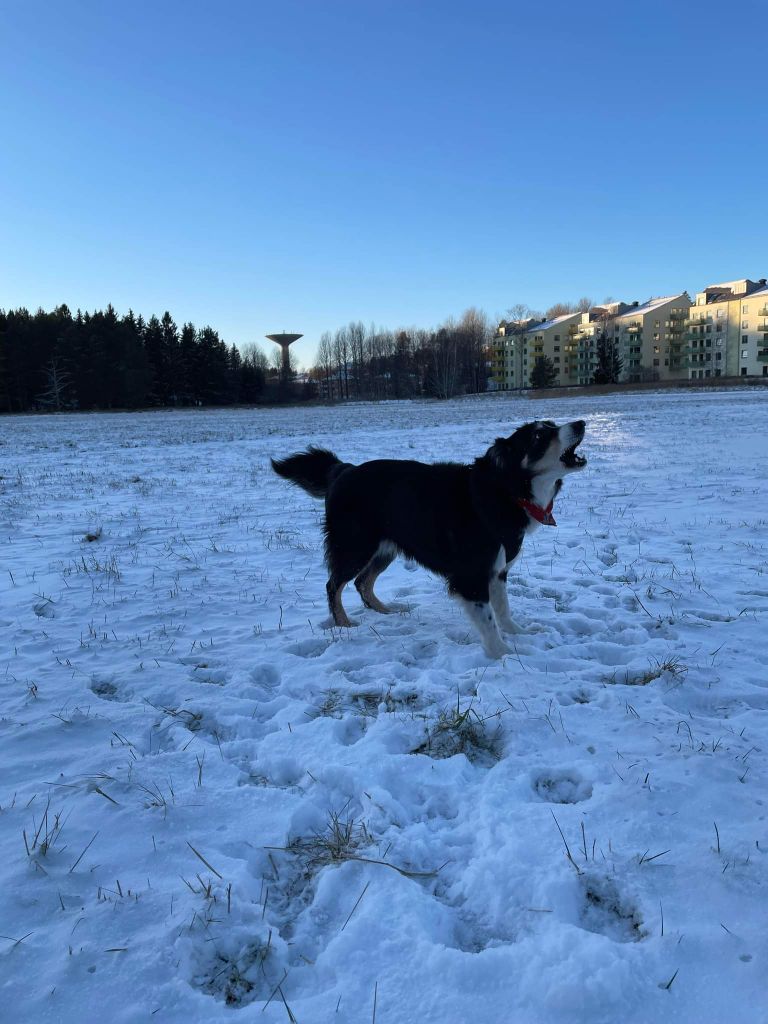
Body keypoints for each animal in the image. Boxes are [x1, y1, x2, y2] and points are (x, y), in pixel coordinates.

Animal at [274, 419, 585, 659]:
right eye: (539, 436)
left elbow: (503, 609)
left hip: (385, 548)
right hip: (355, 546)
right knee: (334, 585)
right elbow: (488, 619)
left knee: (363, 582)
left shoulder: (497, 571)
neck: (505, 490)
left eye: (551, 424)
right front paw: (503, 654)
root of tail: (343, 469)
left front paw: (518, 633)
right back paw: (344, 625)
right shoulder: (472, 575)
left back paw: (386, 611)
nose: (581, 423)